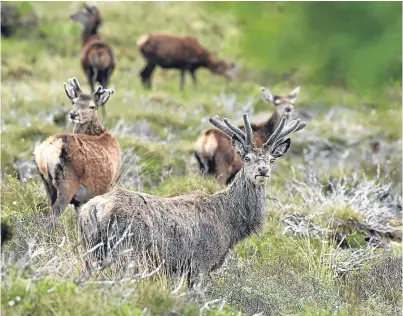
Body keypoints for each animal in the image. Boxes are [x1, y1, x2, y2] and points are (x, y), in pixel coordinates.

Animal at [79, 112, 306, 286]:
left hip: (90, 249)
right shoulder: (200, 262)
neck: (230, 225)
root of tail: (94, 209)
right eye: (247, 158)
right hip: (127, 250)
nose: (263, 170)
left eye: (272, 160)